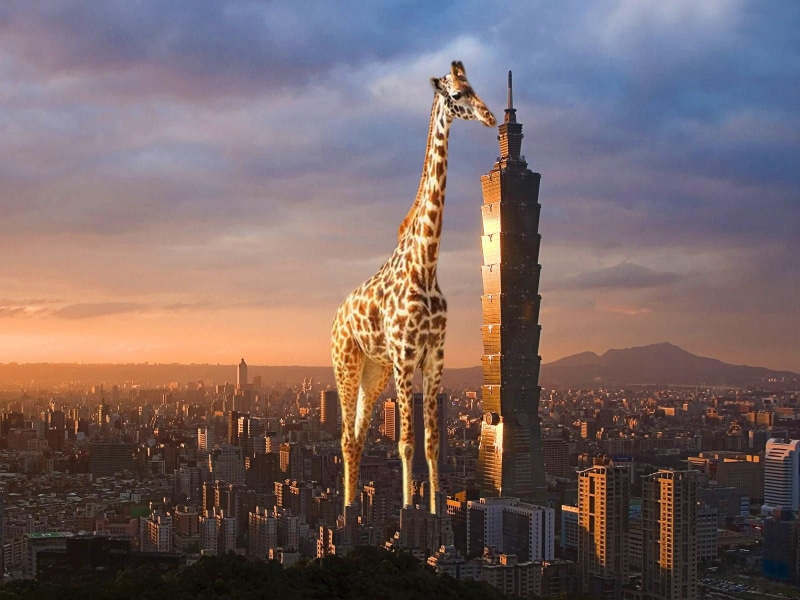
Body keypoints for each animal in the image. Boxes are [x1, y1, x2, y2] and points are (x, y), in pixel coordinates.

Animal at [331, 61, 495, 513]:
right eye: (455, 95)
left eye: (474, 85)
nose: (491, 117)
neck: (426, 264)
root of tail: (336, 318)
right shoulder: (406, 356)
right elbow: (405, 443)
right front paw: (408, 511)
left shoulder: (434, 356)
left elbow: (431, 443)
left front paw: (436, 512)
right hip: (346, 363)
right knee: (346, 437)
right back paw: (347, 511)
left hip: (375, 371)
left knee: (358, 437)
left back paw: (353, 507)